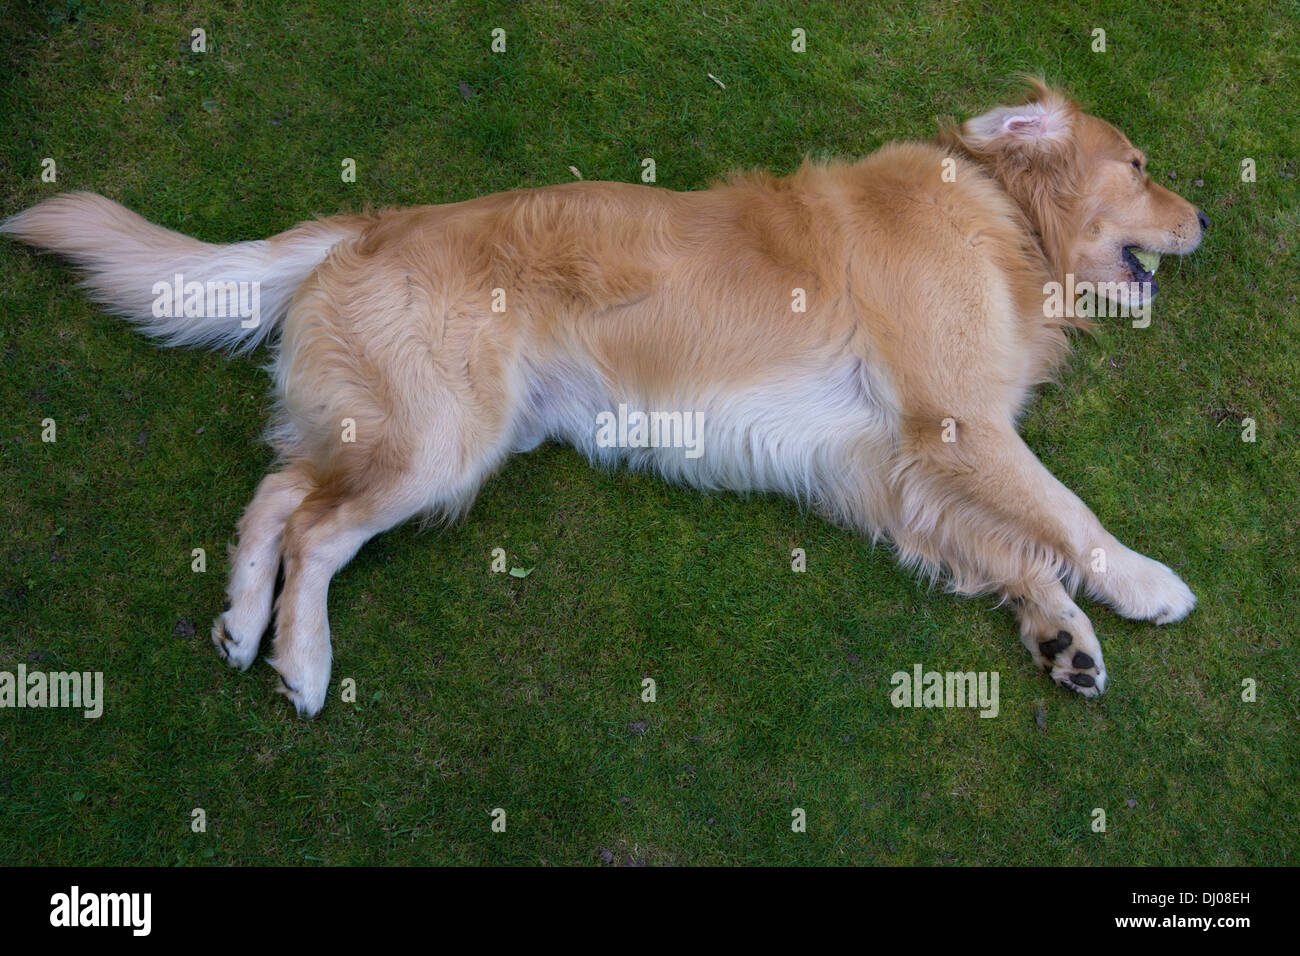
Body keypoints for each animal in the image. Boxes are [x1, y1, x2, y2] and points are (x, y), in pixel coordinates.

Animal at [7, 82, 1206, 712]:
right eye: (1140, 164)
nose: (1207, 217)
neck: (1003, 214)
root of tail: (369, 224)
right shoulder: (952, 419)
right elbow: (1064, 515)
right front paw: (1142, 584)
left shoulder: (881, 462)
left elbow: (1005, 545)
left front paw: (1059, 633)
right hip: (443, 442)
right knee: (314, 526)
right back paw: (301, 659)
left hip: (387, 426)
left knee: (275, 490)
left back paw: (241, 622)